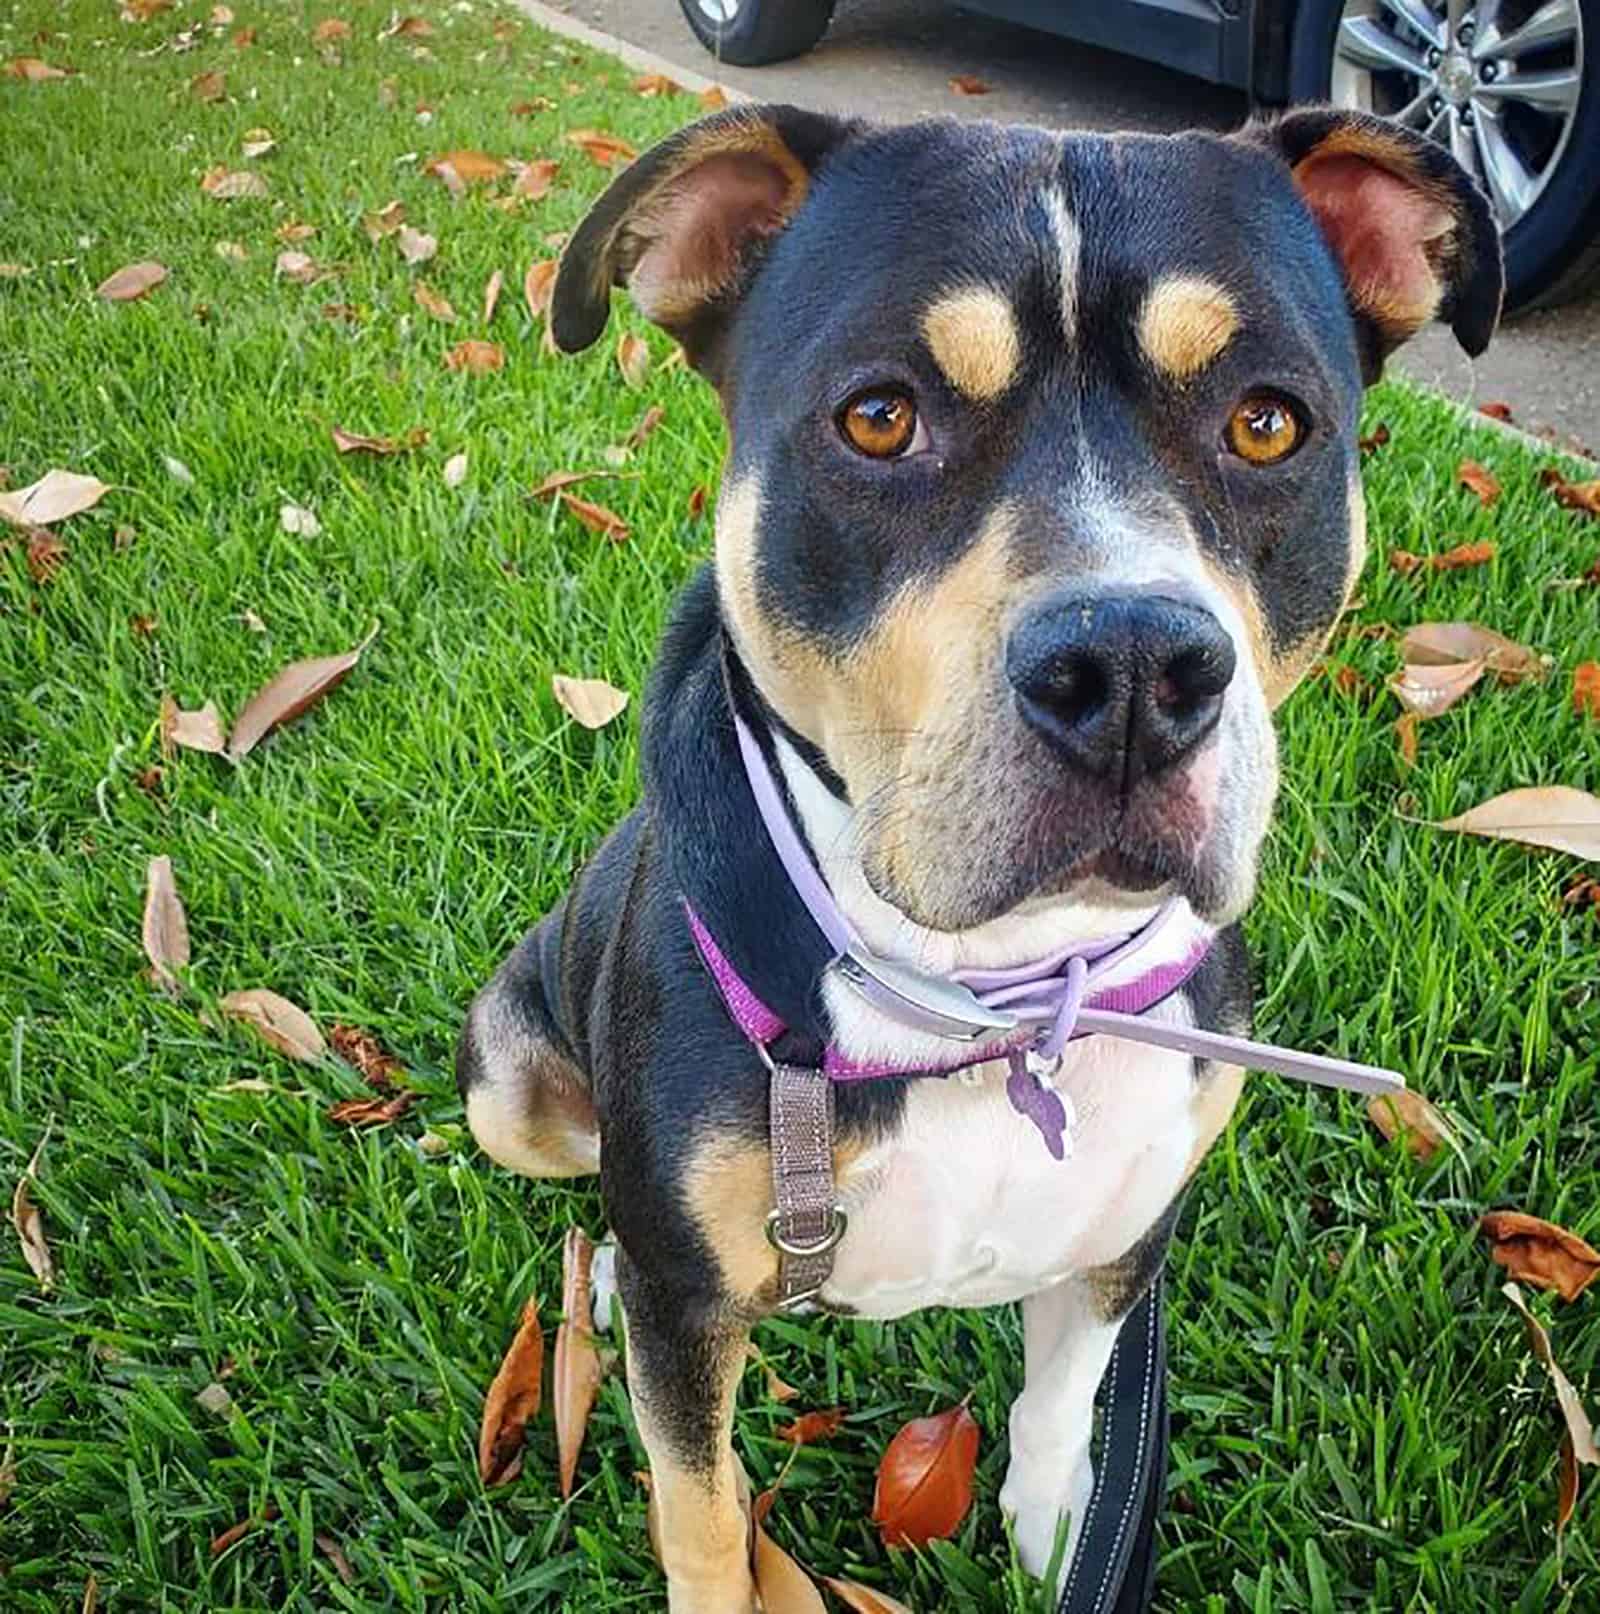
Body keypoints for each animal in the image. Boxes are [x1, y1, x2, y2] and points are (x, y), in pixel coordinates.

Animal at [452, 107, 1498, 1607]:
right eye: (879, 417)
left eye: (1265, 422)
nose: (1133, 667)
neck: (989, 990)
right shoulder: (690, 1318)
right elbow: (699, 1504)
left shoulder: (1128, 1237)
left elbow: (1065, 1401)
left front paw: (1054, 1530)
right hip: (507, 1082)